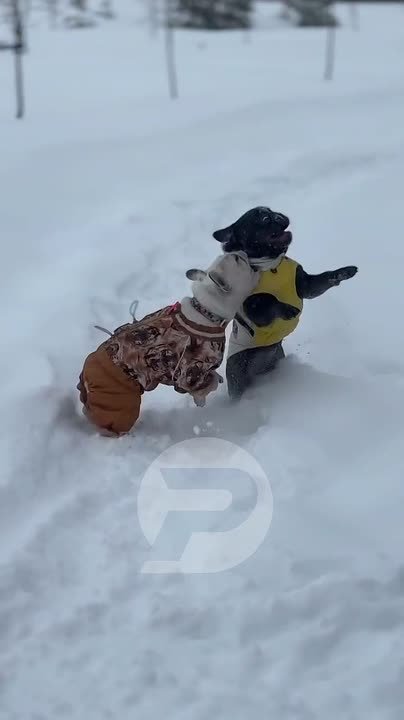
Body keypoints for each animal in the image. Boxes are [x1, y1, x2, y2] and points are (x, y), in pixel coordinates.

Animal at [77, 252, 265, 435]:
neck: (205, 310)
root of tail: (86, 377)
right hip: (118, 401)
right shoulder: (191, 372)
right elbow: (201, 387)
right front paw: (204, 395)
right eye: (238, 259)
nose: (243, 252)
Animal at [213, 206, 358, 398]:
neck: (271, 265)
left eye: (270, 211)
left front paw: (343, 272)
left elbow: (325, 277)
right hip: (238, 375)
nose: (276, 217)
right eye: (263, 220)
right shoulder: (254, 311)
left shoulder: (307, 286)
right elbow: (269, 301)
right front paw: (288, 309)